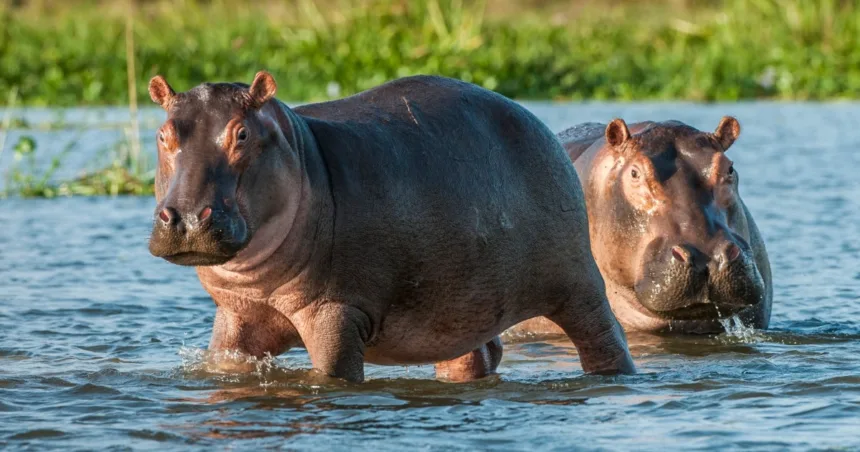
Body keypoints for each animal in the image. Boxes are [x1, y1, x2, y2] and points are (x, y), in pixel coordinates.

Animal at [146, 71, 635, 382]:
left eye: (242, 133)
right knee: (475, 355)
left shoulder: (336, 312)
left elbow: (334, 375)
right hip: (460, 306)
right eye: (162, 134)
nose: (186, 217)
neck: (300, 152)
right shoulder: (237, 315)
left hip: (578, 284)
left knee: (604, 337)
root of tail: (538, 123)